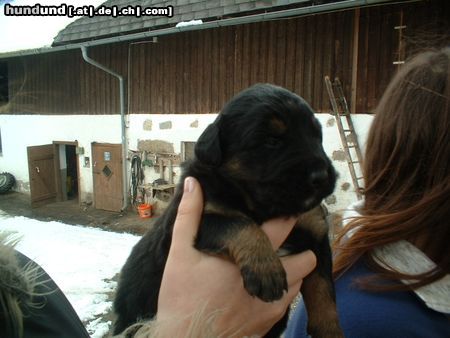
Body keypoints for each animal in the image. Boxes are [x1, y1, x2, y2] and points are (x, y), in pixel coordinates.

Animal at [114, 83, 342, 336]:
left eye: (317, 136)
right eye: (272, 141)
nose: (321, 176)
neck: (264, 208)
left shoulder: (316, 234)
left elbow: (324, 292)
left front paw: (330, 330)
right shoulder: (196, 221)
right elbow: (239, 224)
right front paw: (266, 269)